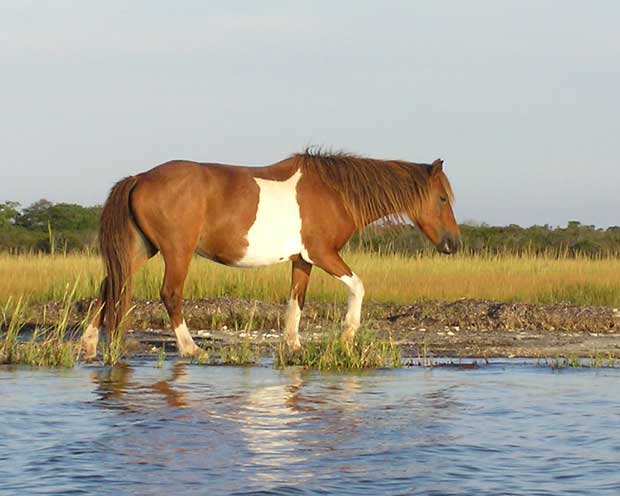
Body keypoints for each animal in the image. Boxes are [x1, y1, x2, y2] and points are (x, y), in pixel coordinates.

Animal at [80, 149, 460, 358]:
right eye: (442, 198)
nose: (453, 244)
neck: (334, 192)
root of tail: (140, 178)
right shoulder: (323, 254)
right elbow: (358, 286)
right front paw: (347, 336)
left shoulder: (303, 260)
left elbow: (296, 301)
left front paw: (293, 345)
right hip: (177, 251)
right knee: (170, 294)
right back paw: (190, 348)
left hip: (142, 248)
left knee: (109, 286)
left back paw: (88, 344)